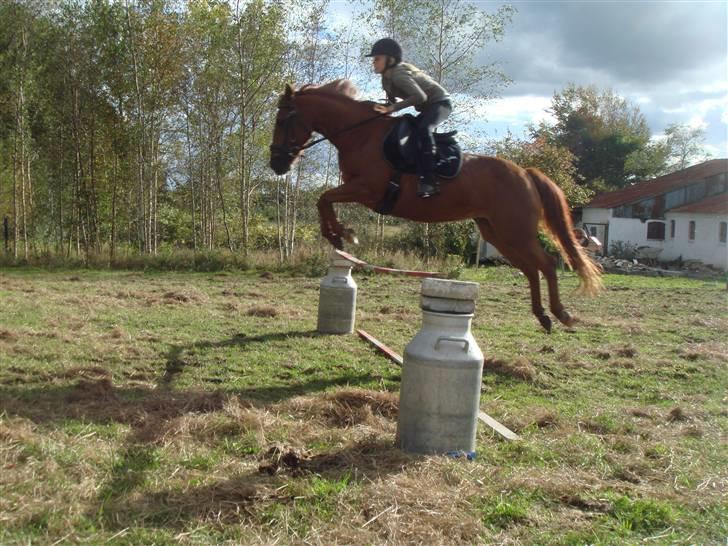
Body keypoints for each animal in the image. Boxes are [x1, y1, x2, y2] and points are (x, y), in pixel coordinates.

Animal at [270, 78, 600, 330]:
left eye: (283, 120)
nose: (276, 164)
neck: (360, 134)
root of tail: (526, 173)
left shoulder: (367, 189)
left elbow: (324, 197)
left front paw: (341, 234)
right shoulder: (359, 190)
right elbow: (324, 199)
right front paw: (338, 235)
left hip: (515, 231)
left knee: (545, 264)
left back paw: (561, 314)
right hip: (497, 233)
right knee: (531, 269)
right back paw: (543, 316)